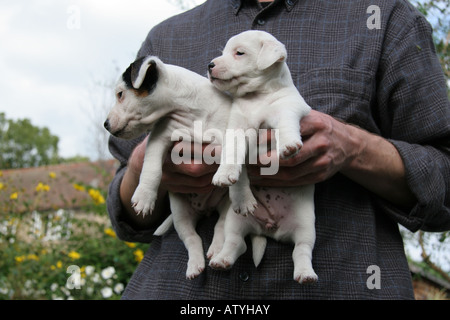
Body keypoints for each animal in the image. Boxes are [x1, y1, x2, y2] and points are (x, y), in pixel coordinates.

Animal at [207, 30, 316, 282]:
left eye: (239, 53)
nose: (210, 65)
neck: (258, 97)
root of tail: (270, 229)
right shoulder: (237, 128)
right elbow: (233, 156)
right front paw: (226, 176)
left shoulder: (290, 107)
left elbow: (286, 122)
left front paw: (289, 144)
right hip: (235, 221)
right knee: (236, 243)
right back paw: (222, 260)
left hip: (307, 226)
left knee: (302, 250)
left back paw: (305, 273)